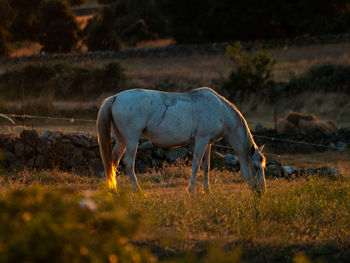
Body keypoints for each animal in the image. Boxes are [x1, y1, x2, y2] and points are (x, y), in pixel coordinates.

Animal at [95, 88, 266, 194]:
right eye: (256, 167)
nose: (261, 192)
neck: (221, 111)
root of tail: (115, 97)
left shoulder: (208, 143)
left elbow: (206, 166)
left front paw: (207, 190)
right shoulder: (201, 140)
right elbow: (196, 164)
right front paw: (191, 190)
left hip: (121, 140)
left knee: (113, 161)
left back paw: (113, 190)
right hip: (132, 139)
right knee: (128, 162)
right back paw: (138, 190)